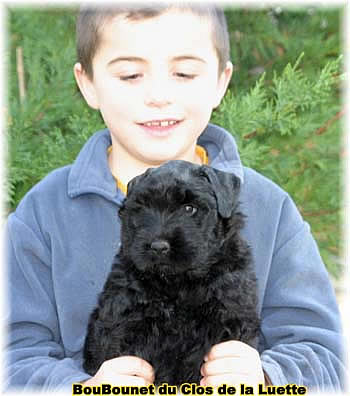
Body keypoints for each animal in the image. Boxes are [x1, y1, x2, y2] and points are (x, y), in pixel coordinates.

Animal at [83, 160, 260, 384]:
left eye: (189, 208)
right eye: (143, 208)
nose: (158, 247)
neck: (177, 283)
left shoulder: (230, 319)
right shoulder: (122, 323)